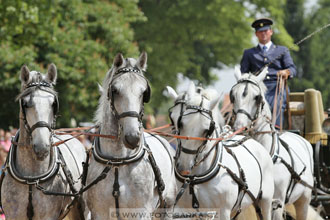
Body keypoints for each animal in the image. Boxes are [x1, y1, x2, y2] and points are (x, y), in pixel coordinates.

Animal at [0, 64, 87, 219]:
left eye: (53, 104)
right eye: (26, 103)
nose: (42, 147)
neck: (31, 178)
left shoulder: (48, 215)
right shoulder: (14, 214)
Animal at [85, 52, 178, 219]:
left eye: (143, 92)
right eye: (115, 90)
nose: (133, 137)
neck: (117, 161)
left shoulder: (140, 212)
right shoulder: (100, 212)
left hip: (167, 206)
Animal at [166, 82, 274, 220]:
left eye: (208, 129)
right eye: (180, 123)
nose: (184, 166)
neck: (195, 178)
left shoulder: (223, 211)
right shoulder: (183, 210)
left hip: (266, 201)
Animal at [229, 67, 314, 220]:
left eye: (257, 97)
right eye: (232, 96)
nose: (240, 127)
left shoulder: (277, 201)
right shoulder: (256, 202)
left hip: (304, 200)